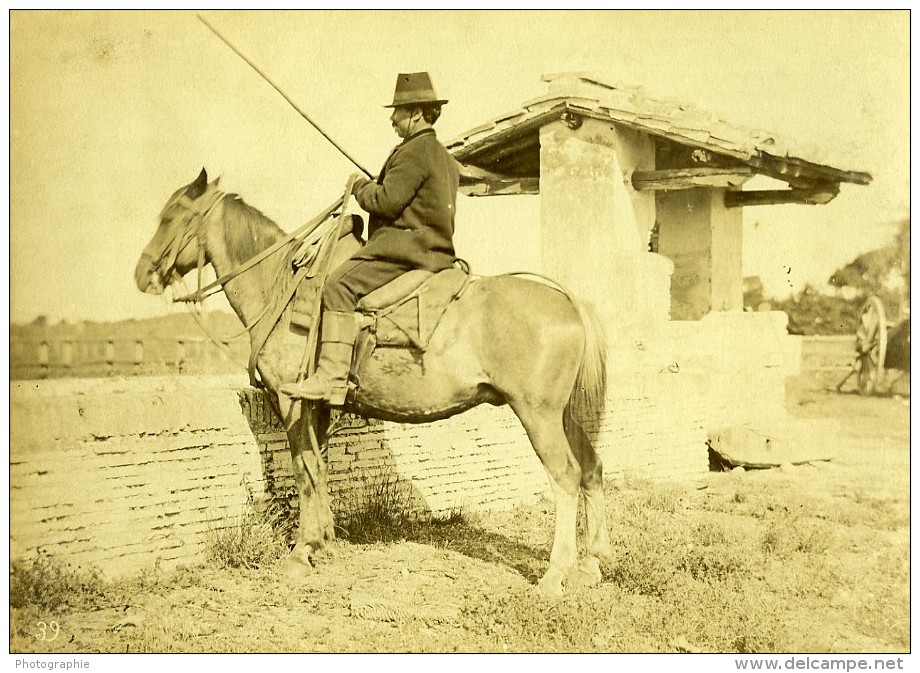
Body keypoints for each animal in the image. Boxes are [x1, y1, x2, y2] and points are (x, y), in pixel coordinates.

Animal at [135, 167, 612, 592]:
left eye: (171, 216)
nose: (142, 274)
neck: (284, 287)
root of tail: (568, 300)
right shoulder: (317, 405)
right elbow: (318, 467)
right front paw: (322, 540)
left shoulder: (292, 401)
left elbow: (303, 468)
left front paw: (302, 551)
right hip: (564, 415)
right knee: (591, 469)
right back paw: (590, 564)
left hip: (538, 415)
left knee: (566, 476)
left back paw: (555, 574)